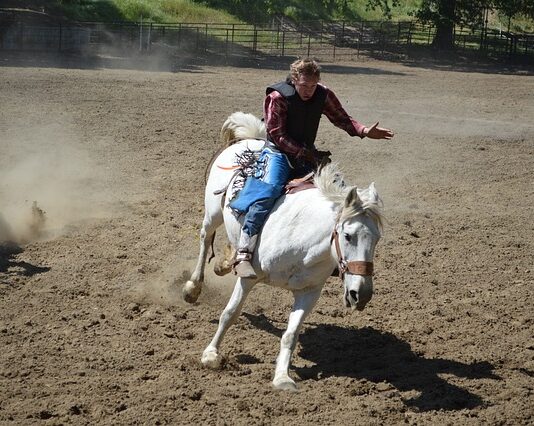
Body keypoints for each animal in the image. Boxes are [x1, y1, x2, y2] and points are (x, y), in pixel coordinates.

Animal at [184, 112, 386, 390]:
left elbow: (291, 334)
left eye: (376, 239)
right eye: (347, 236)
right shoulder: (249, 278)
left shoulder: (309, 292)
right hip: (212, 213)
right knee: (205, 240)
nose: (361, 294)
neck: (303, 245)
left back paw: (224, 264)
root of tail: (251, 140)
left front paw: (282, 377)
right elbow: (230, 313)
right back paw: (193, 287)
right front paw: (211, 355)